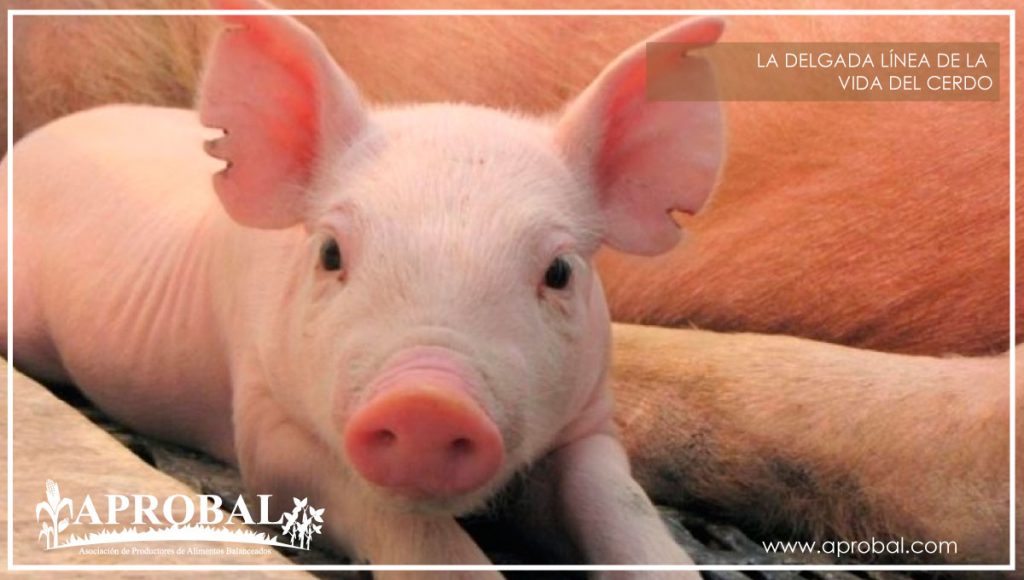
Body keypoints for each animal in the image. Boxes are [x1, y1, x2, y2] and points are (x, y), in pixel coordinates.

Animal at [1, 0, 727, 575]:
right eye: (330, 253)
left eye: (559, 272)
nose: (429, 401)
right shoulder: (264, 422)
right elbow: (396, 517)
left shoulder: (591, 419)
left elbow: (620, 502)